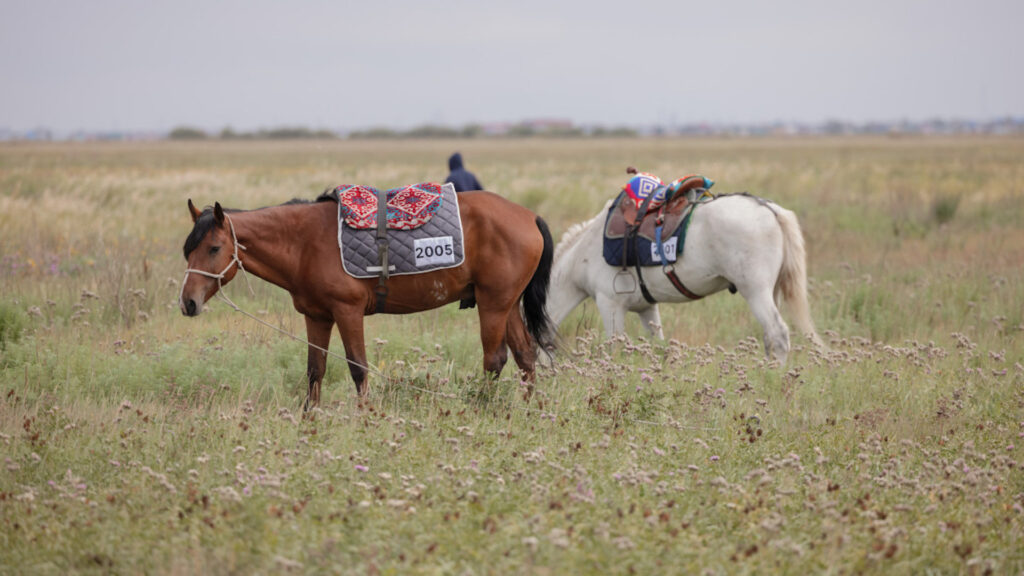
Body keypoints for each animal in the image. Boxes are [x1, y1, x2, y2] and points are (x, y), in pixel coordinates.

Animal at [180, 190, 557, 405]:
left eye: (213, 248)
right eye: (188, 250)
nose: (188, 302)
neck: (305, 243)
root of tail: (529, 216)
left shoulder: (348, 312)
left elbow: (358, 368)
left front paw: (366, 419)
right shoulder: (316, 316)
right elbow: (315, 371)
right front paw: (308, 424)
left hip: (494, 305)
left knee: (495, 360)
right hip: (506, 304)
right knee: (525, 356)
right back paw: (530, 409)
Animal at [544, 194, 823, 360]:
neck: (584, 255)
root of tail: (769, 209)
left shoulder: (610, 304)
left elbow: (614, 349)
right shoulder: (646, 308)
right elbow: (659, 346)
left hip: (756, 292)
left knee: (778, 335)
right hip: (771, 292)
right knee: (769, 337)